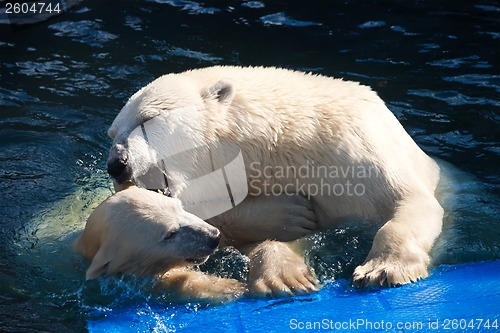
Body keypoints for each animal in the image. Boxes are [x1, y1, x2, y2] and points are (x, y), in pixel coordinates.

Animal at [104, 66, 442, 294]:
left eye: (148, 118)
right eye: (113, 133)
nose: (117, 165)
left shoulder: (358, 150)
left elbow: (412, 202)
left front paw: (381, 270)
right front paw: (286, 274)